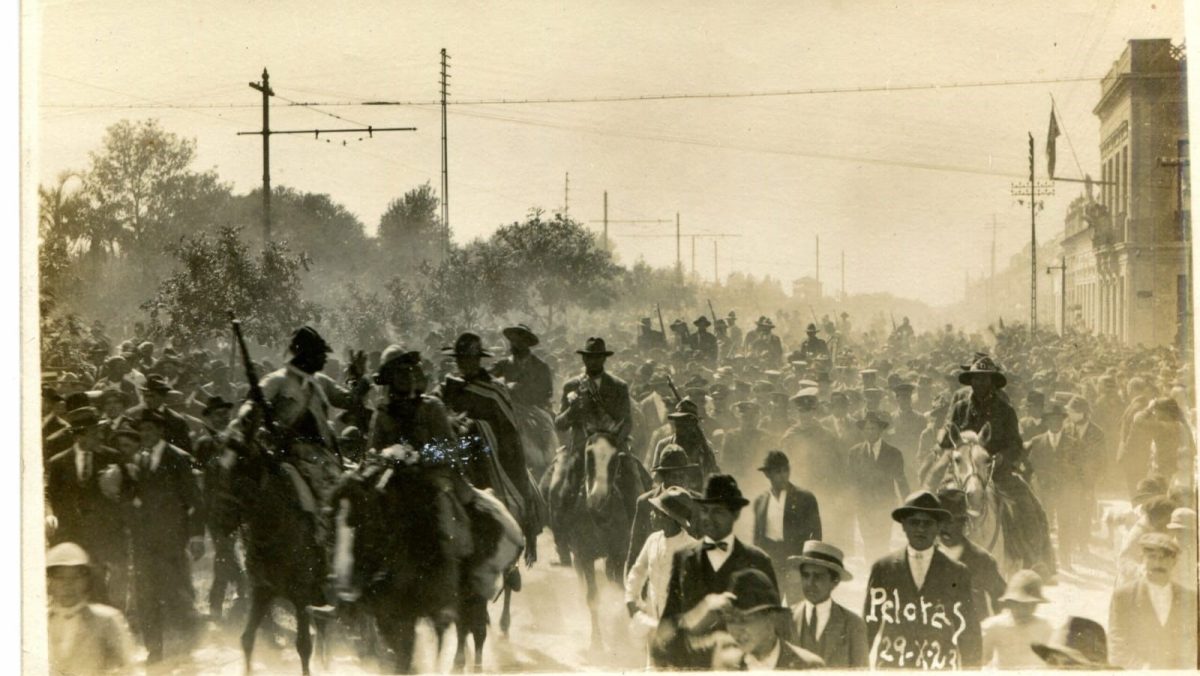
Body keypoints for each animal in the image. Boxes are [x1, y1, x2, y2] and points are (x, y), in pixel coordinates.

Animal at [212, 441, 331, 672]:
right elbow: (247, 638)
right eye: (221, 473)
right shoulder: (262, 591)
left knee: (322, 624)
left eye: (240, 477)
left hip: (316, 589)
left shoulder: (301, 595)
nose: (220, 521)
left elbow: (304, 645)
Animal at [549, 434, 648, 648]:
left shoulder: (618, 554)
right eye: (589, 455)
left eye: (615, 458)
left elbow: (620, 587)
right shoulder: (585, 555)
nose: (597, 498)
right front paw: (597, 641)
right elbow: (592, 597)